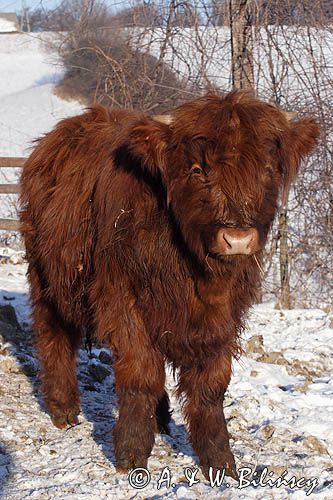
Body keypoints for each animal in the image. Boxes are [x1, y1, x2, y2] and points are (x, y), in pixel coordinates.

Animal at [19, 92, 318, 478]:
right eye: (198, 170)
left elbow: (211, 386)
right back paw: (63, 408)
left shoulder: (225, 315)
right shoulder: (123, 300)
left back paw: (160, 418)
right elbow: (139, 374)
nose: (237, 239)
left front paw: (219, 458)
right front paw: (131, 451)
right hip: (48, 276)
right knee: (54, 335)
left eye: (268, 169)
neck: (195, 271)